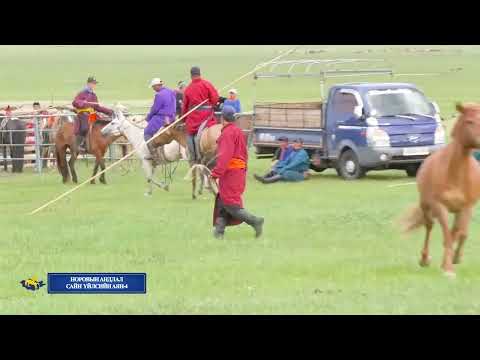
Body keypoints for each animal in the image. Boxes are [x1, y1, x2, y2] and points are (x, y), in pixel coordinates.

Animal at [400, 102, 480, 278]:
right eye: (469, 121)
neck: (455, 174)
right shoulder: (440, 206)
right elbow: (447, 236)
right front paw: (448, 269)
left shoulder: (466, 207)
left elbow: (458, 234)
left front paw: (452, 261)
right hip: (425, 206)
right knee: (429, 226)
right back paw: (424, 259)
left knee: (458, 232)